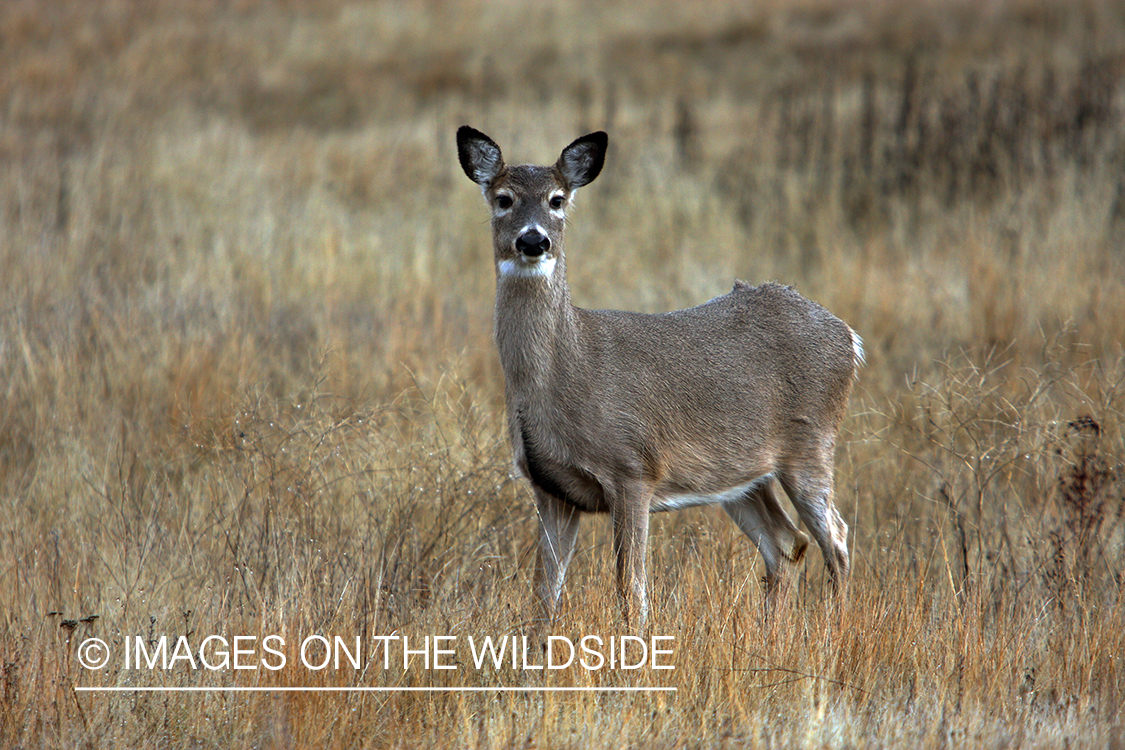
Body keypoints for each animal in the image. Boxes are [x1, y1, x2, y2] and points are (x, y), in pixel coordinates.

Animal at [454, 124, 859, 629]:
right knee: (787, 543)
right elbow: (544, 597)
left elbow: (632, 590)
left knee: (836, 538)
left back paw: (836, 631)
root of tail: (849, 337)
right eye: (504, 198)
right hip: (742, 474)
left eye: (557, 200)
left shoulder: (633, 468)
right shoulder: (550, 488)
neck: (567, 369)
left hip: (812, 443)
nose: (534, 241)